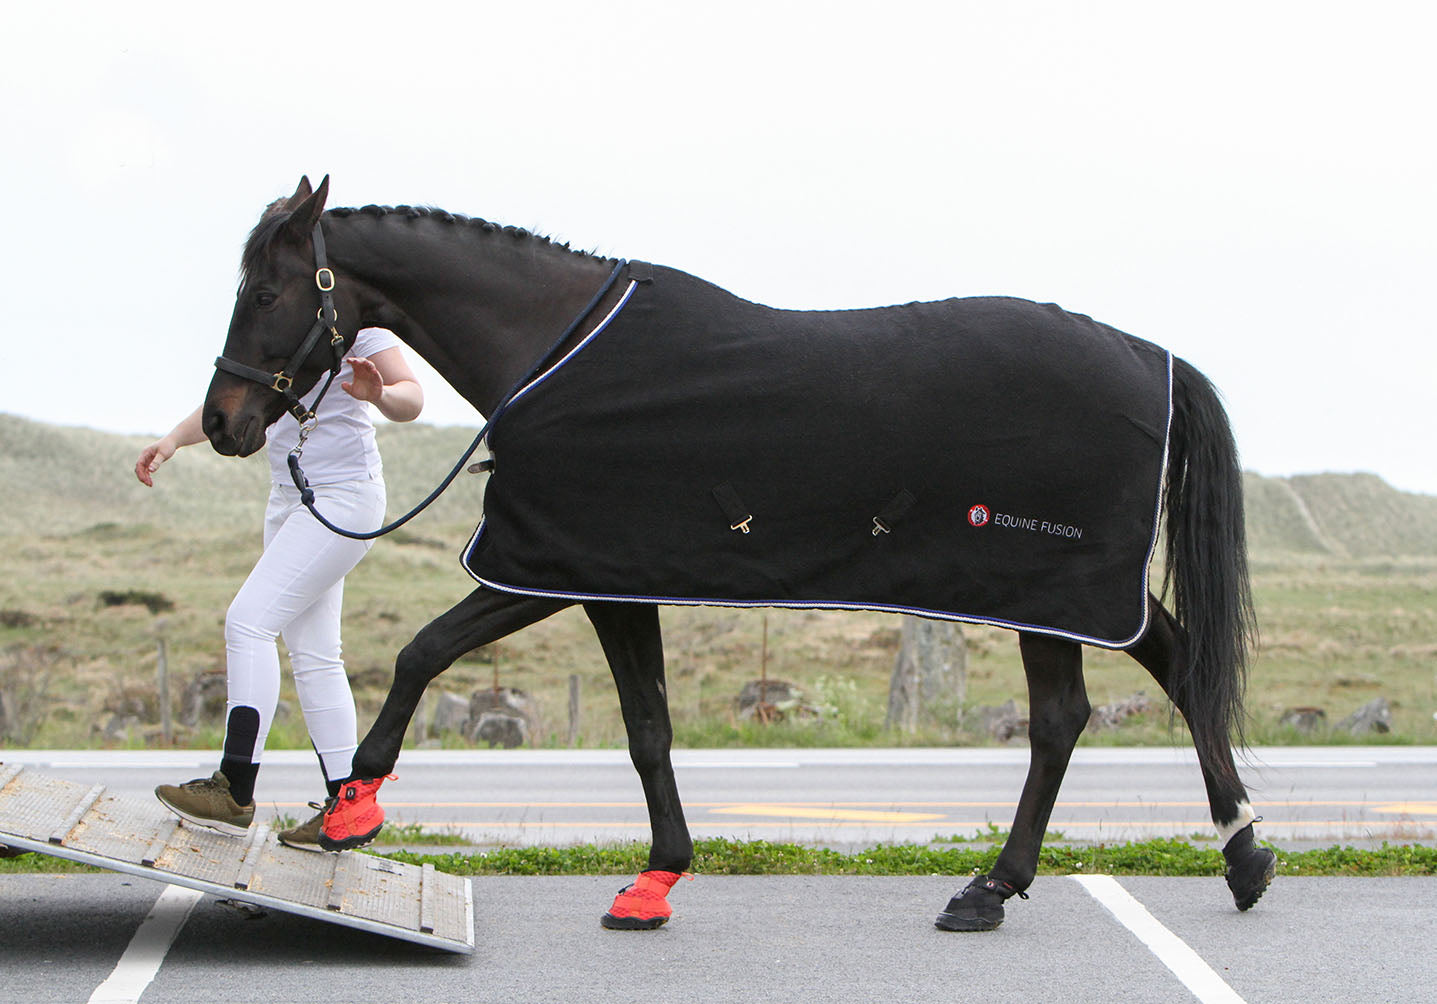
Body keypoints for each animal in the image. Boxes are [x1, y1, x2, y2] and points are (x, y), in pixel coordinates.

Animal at [199, 174, 1270, 936]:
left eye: (268, 288)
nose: (221, 423)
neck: (554, 351)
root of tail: (1149, 356)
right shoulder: (599, 578)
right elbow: (636, 722)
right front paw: (654, 879)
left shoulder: (554, 570)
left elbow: (437, 657)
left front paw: (351, 811)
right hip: (1073, 589)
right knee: (1169, 665)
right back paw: (1242, 856)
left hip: (1043, 584)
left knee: (1061, 718)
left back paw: (992, 889)